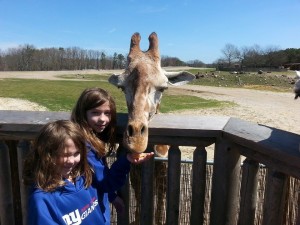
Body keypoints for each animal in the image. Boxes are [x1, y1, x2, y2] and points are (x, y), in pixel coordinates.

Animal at [108, 32, 195, 225]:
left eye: (163, 88)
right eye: (121, 87)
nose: (136, 142)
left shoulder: (164, 172)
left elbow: (160, 203)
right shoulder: (135, 173)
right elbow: (141, 200)